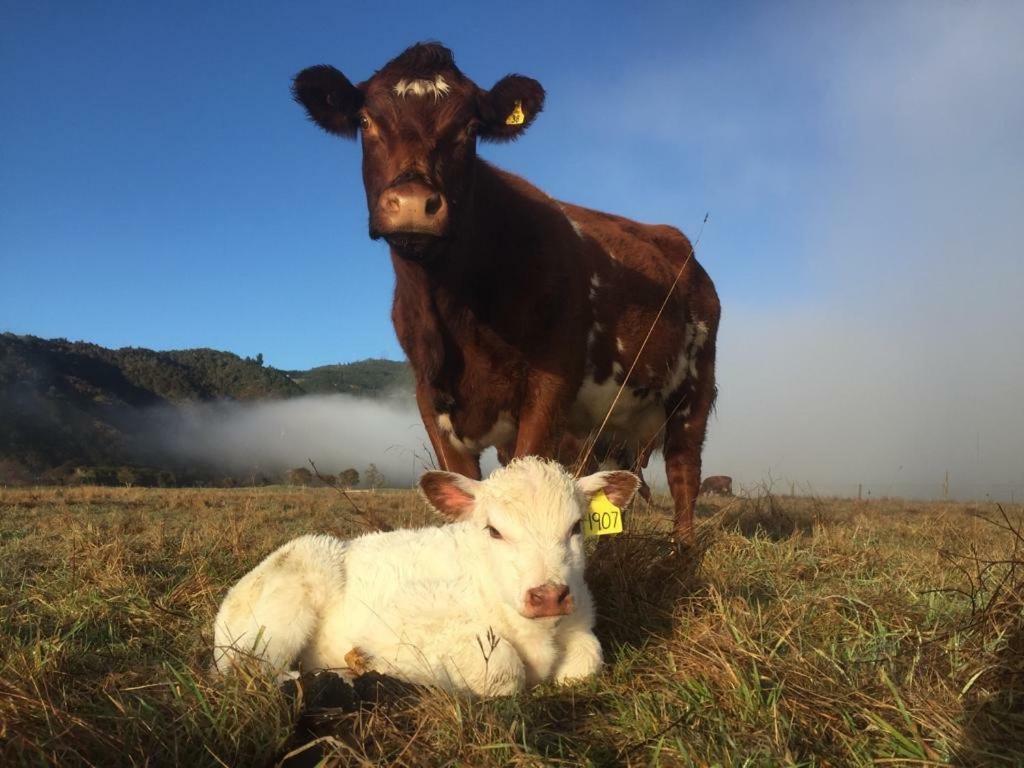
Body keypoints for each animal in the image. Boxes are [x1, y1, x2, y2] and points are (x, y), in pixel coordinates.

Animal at [211, 456, 634, 696]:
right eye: (494, 530)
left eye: (576, 527)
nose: (547, 595)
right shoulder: (402, 621)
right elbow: (502, 669)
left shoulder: (581, 622)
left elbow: (586, 661)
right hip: (283, 606)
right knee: (252, 674)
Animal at [292, 41, 716, 540]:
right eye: (365, 120)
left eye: (470, 127)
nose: (414, 205)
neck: (454, 312)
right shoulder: (430, 395)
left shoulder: (550, 385)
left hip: (693, 388)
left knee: (684, 470)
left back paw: (682, 545)